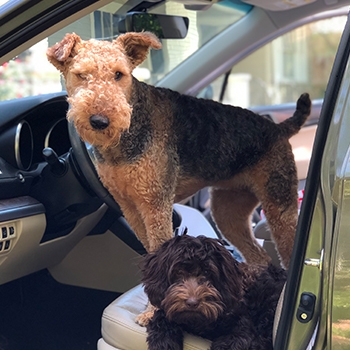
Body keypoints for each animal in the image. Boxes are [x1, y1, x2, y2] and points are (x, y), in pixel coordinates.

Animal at [142, 232, 288, 350]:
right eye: (178, 272)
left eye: (207, 272)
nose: (192, 303)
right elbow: (161, 319)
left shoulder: (241, 323)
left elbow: (235, 339)